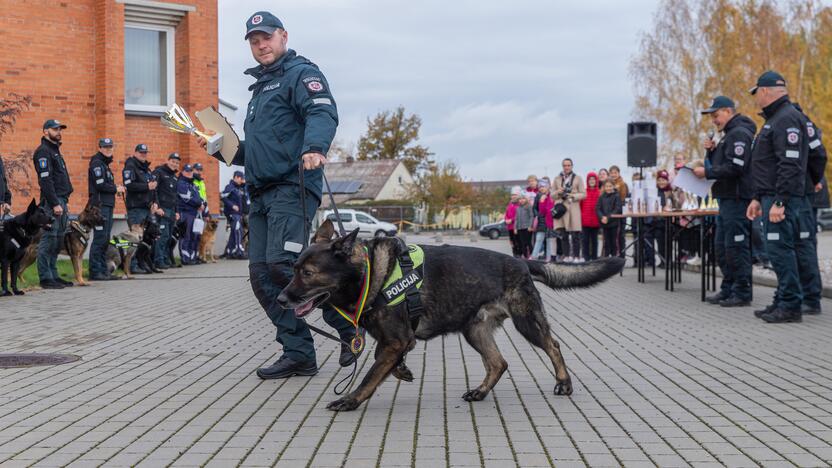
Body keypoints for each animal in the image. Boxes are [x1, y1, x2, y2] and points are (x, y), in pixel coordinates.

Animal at [280, 221, 624, 412]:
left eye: (307, 274)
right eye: (294, 269)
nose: (281, 299)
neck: (370, 274)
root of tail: (520, 261)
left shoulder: (396, 339)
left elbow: (370, 375)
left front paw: (351, 400)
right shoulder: (394, 341)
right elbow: (382, 361)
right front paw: (401, 370)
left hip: (527, 322)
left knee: (553, 345)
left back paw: (564, 383)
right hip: (474, 331)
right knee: (498, 363)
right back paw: (480, 392)